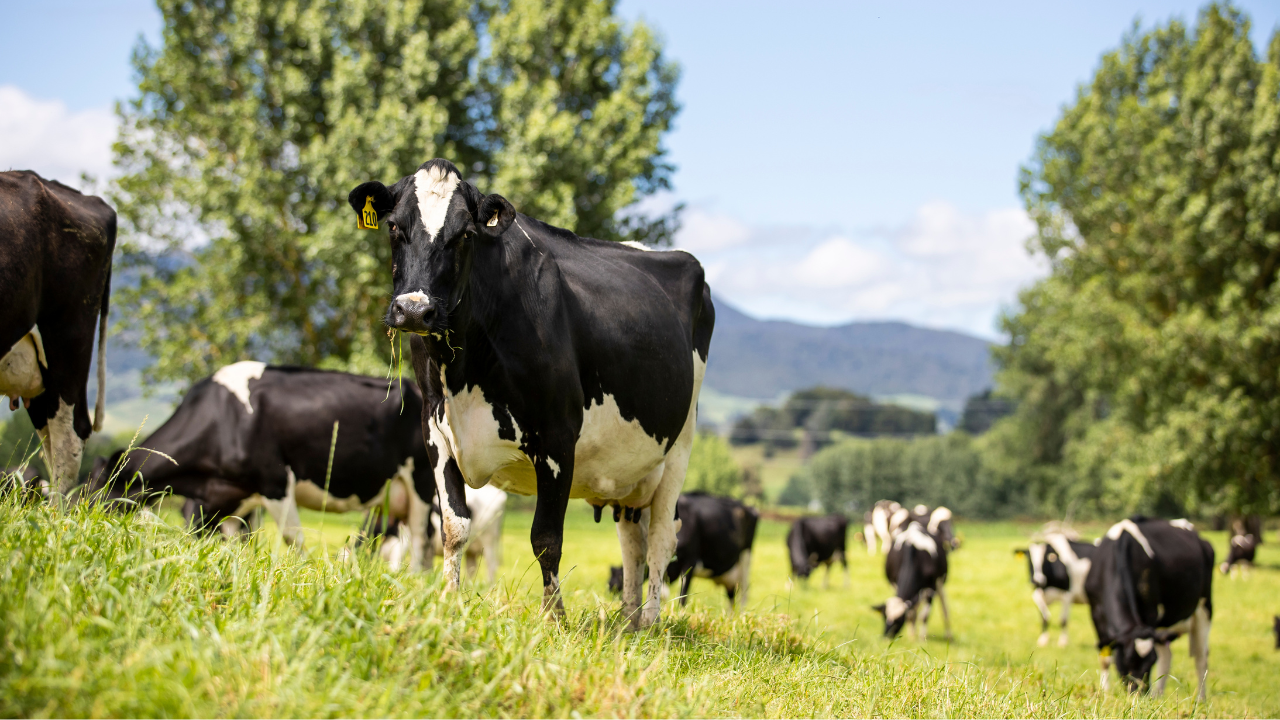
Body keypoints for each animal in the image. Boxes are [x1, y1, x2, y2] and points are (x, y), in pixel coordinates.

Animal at [88, 363, 436, 567]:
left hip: (422, 484)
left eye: (97, 495)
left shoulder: (275, 482)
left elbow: (293, 539)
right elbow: (229, 541)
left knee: (421, 544)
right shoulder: (226, 497)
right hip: (389, 500)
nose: (82, 525)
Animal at [347, 158, 714, 629]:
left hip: (679, 447)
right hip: (630, 471)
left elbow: (546, 537)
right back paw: (627, 622)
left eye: (465, 233)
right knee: (632, 537)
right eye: (394, 226)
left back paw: (649, 621)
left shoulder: (557, 437)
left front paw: (553, 617)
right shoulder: (436, 430)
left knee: (662, 536)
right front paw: (448, 602)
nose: (414, 309)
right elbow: (454, 526)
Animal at [1085, 517, 1213, 699]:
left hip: (1204, 607)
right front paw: (1105, 692)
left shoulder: (1150, 612)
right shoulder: (1095, 611)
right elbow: (1105, 656)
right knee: (1167, 655)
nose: (1140, 693)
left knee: (1201, 657)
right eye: (1127, 660)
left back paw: (1200, 700)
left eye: (1151, 661)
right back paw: (1158, 696)